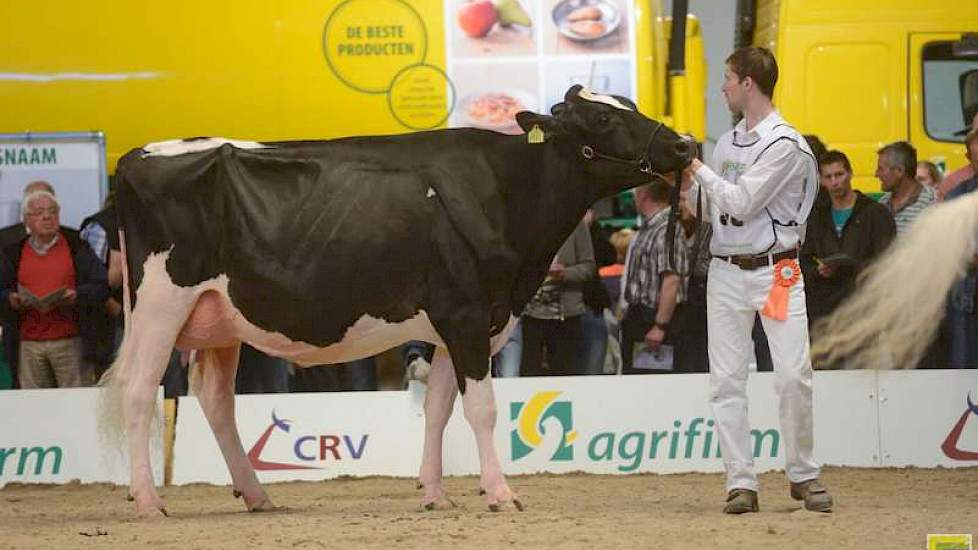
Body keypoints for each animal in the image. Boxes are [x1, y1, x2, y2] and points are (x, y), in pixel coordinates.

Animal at [105, 85, 688, 516]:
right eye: (602, 119)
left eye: (629, 104)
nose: (684, 145)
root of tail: (136, 157)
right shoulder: (467, 316)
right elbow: (481, 409)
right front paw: (501, 493)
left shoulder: (461, 324)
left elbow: (438, 408)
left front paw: (434, 493)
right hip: (161, 303)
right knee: (139, 391)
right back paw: (149, 499)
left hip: (220, 317)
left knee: (215, 400)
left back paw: (256, 494)